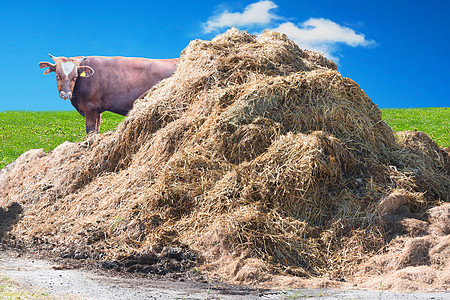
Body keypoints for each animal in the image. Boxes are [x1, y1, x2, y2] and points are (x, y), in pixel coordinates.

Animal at [38, 54, 178, 134]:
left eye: (75, 76)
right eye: (57, 75)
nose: (66, 94)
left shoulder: (90, 107)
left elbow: (90, 130)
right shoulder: (97, 111)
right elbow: (97, 129)